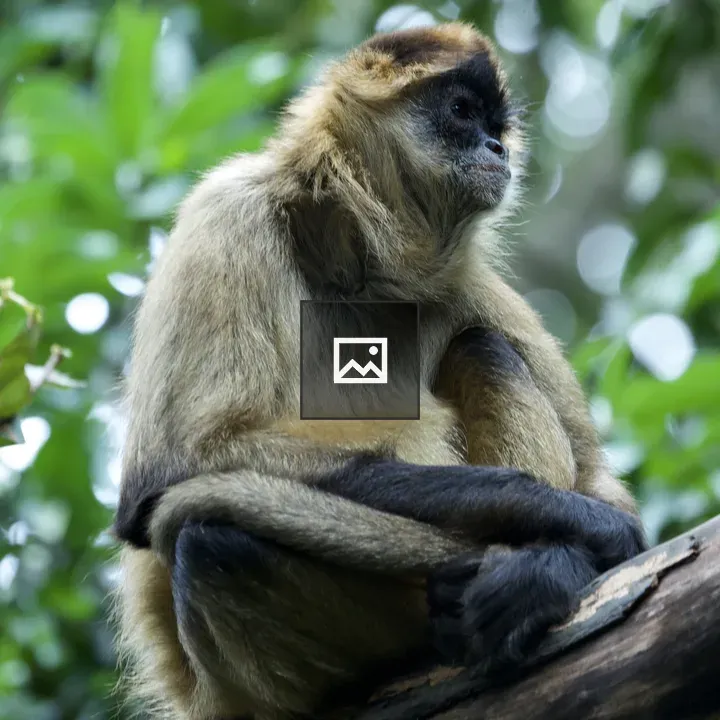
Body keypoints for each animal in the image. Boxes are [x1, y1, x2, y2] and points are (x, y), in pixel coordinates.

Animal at [111, 22, 646, 720]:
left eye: (496, 124)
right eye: (462, 112)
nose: (498, 147)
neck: (357, 260)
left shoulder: (464, 283)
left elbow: (600, 485)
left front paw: (545, 570)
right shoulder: (228, 210)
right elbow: (166, 476)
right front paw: (560, 528)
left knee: (484, 347)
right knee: (213, 544)